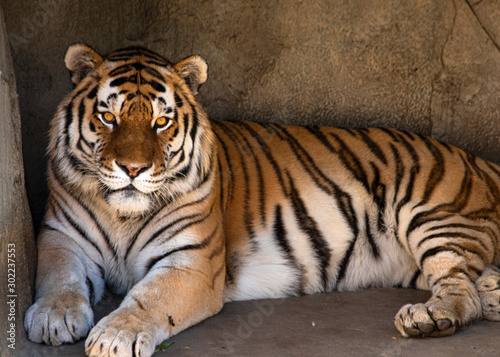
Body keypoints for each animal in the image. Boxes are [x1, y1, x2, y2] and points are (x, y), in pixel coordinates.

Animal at [24, 44, 500, 356]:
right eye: (108, 116)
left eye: (161, 122)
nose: (133, 169)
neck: (123, 214)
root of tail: (481, 160)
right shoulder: (60, 235)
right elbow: (58, 277)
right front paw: (53, 318)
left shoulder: (192, 260)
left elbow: (149, 297)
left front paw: (114, 336)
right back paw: (493, 291)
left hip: (433, 217)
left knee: (460, 288)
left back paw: (429, 317)